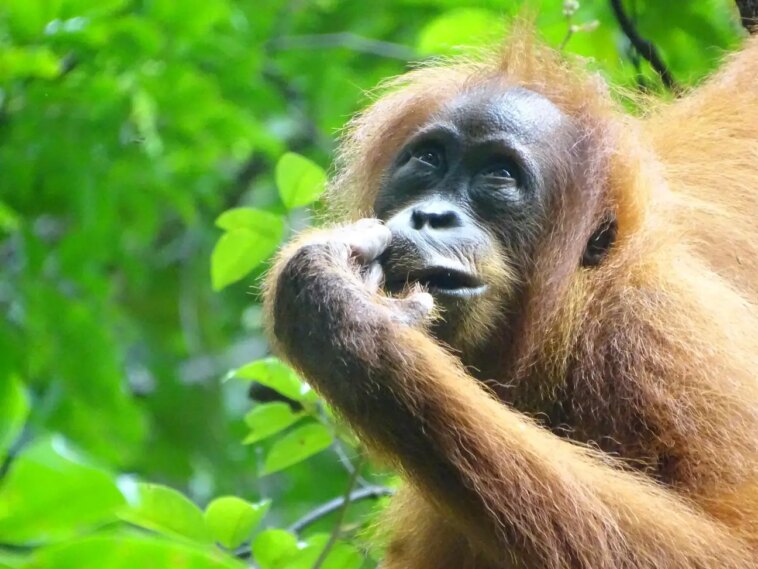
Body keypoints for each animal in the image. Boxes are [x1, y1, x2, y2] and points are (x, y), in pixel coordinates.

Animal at [262, 23, 758, 569]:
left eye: (497, 176)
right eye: (428, 159)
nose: (431, 215)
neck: (569, 320)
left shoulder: (663, 344)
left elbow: (736, 544)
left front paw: (345, 320)